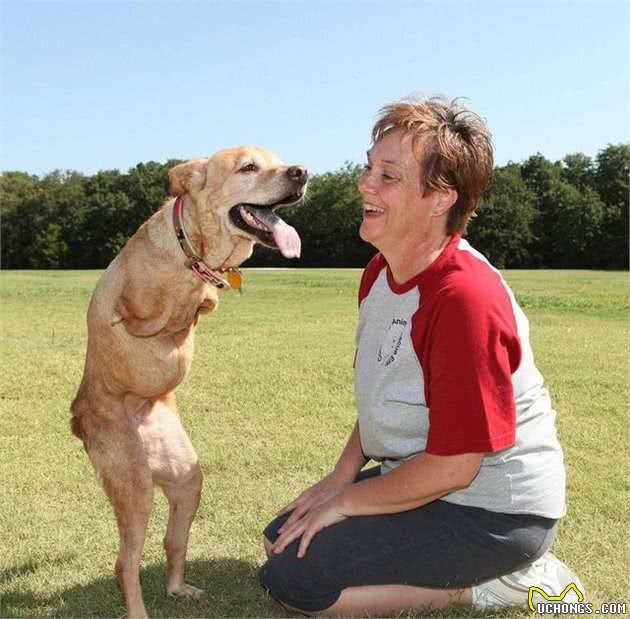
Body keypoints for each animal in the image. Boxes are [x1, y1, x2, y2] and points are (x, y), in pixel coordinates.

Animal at [71, 148, 308, 616]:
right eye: (249, 166)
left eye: (279, 159)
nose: (302, 172)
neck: (191, 249)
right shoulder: (131, 305)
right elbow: (156, 315)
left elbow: (201, 303)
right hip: (135, 488)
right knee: (124, 563)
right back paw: (138, 610)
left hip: (186, 479)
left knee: (171, 541)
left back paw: (178, 588)